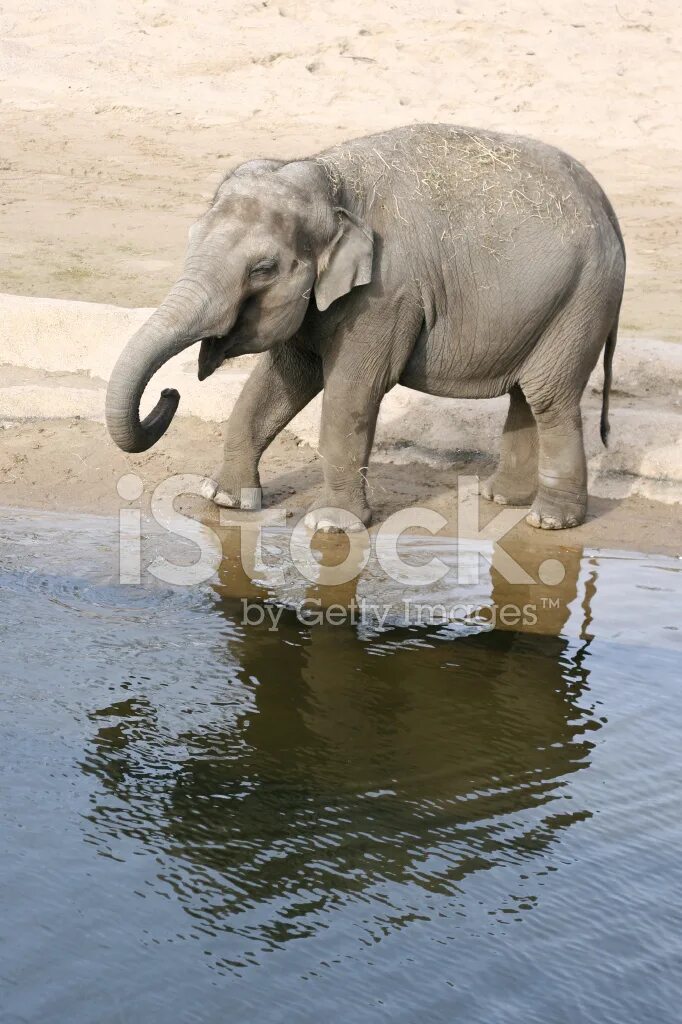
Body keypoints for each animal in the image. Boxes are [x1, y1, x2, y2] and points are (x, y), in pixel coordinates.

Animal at [104, 123, 622, 532]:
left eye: (263, 270)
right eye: (191, 237)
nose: (169, 393)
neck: (330, 179)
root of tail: (609, 211)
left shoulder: (387, 295)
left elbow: (352, 390)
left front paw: (330, 525)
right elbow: (279, 382)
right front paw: (225, 499)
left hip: (582, 301)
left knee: (549, 398)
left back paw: (549, 520)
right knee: (524, 395)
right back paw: (502, 499)